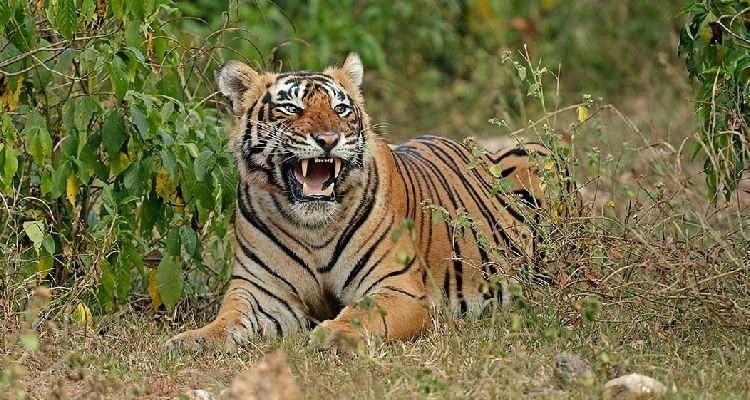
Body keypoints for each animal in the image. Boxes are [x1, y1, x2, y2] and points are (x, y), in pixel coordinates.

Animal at [167, 52, 572, 350]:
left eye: (341, 109)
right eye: (291, 109)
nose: (328, 139)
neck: (312, 225)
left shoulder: (398, 288)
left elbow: (362, 314)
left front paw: (332, 333)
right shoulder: (261, 293)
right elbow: (227, 320)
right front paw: (191, 340)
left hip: (534, 154)